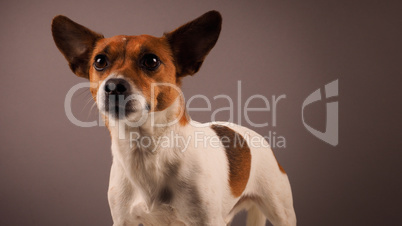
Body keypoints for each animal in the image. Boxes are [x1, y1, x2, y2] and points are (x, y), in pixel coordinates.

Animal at [51, 10, 296, 226]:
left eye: (151, 61)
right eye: (100, 61)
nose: (113, 86)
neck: (145, 149)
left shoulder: (207, 220)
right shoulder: (124, 221)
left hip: (280, 211)